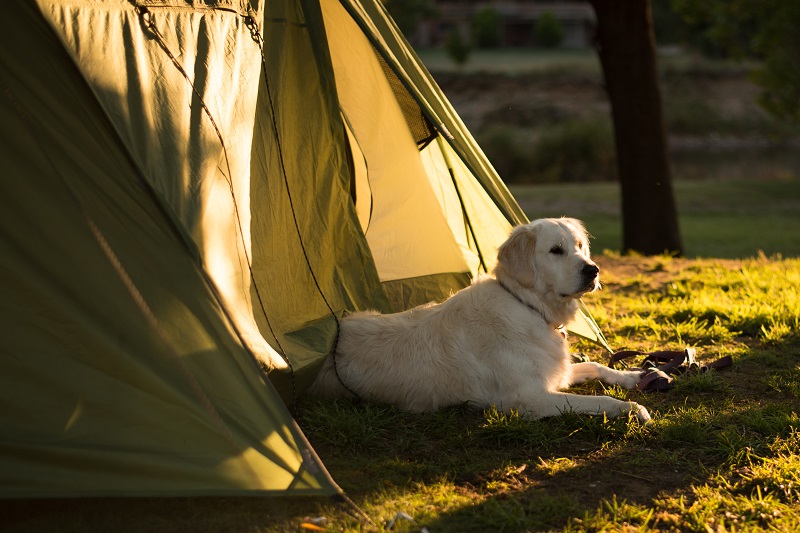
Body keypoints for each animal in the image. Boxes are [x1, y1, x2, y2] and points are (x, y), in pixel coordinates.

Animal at [306, 218, 648, 422]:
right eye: (555, 250)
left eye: (579, 246)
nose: (593, 270)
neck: (527, 305)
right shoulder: (527, 398)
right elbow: (599, 399)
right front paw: (630, 408)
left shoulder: (554, 375)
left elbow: (596, 366)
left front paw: (633, 376)